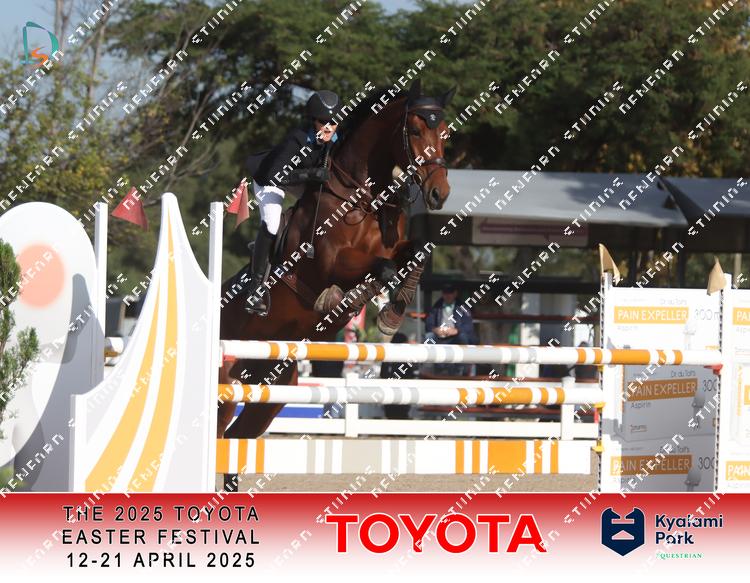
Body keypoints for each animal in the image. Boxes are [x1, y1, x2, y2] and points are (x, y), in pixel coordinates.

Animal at [218, 79, 455, 440]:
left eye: (444, 133)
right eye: (414, 130)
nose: (439, 193)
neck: (362, 199)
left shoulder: (395, 247)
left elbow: (416, 254)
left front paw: (391, 315)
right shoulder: (330, 262)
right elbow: (382, 270)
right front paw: (339, 302)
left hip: (271, 390)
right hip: (225, 387)